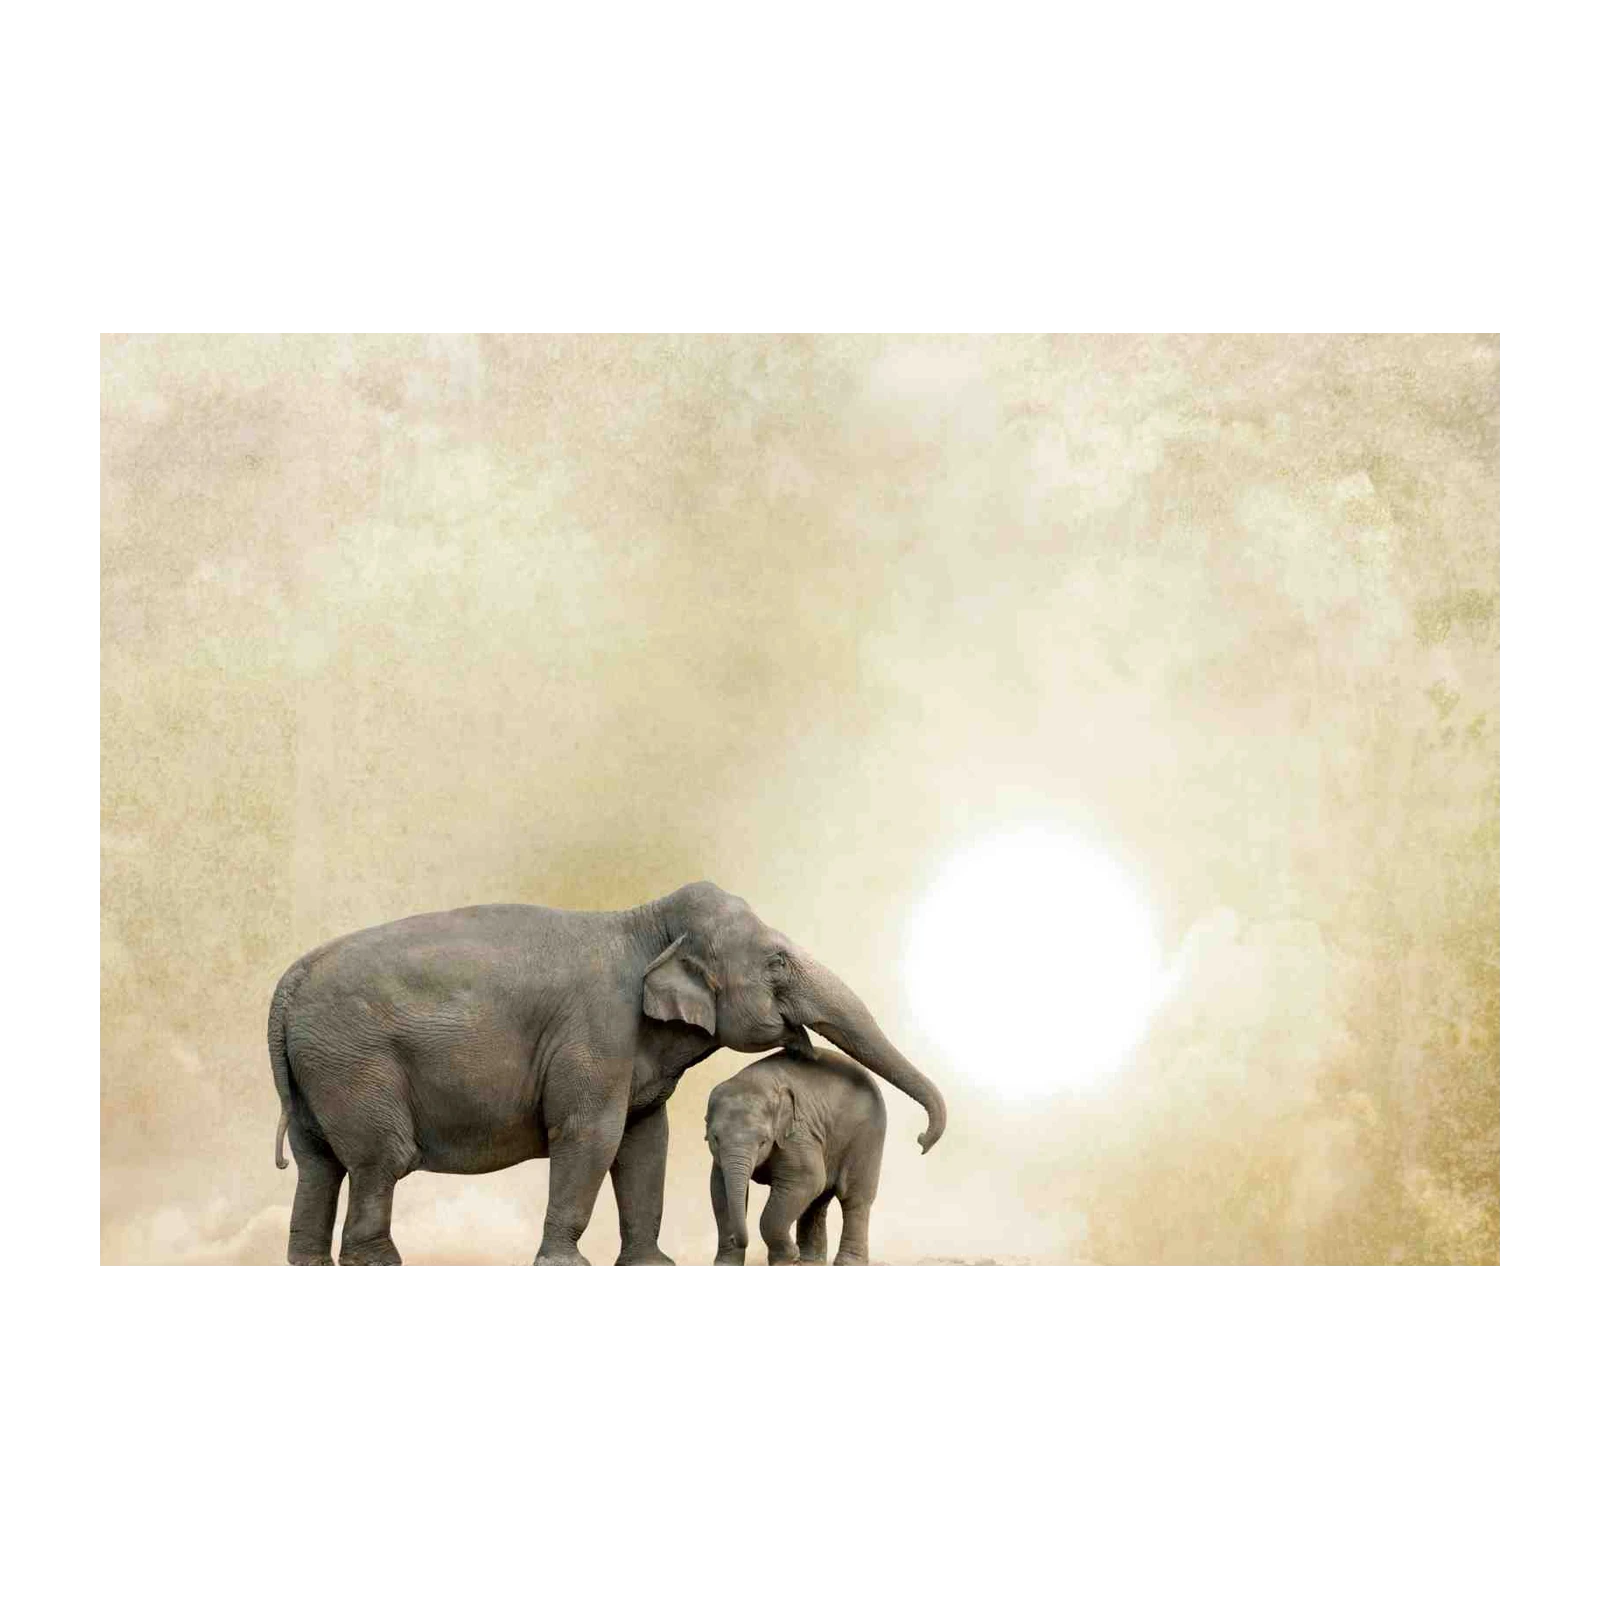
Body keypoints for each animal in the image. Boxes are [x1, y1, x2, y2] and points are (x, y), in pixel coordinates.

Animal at [706, 1046, 890, 1271]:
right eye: (715, 1138)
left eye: (763, 1141)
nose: (736, 1239)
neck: (755, 1081)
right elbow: (719, 1189)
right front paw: (726, 1266)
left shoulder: (798, 1134)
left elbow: (807, 1179)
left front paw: (787, 1259)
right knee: (817, 1200)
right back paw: (809, 1264)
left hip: (867, 1137)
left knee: (854, 1198)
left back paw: (846, 1265)